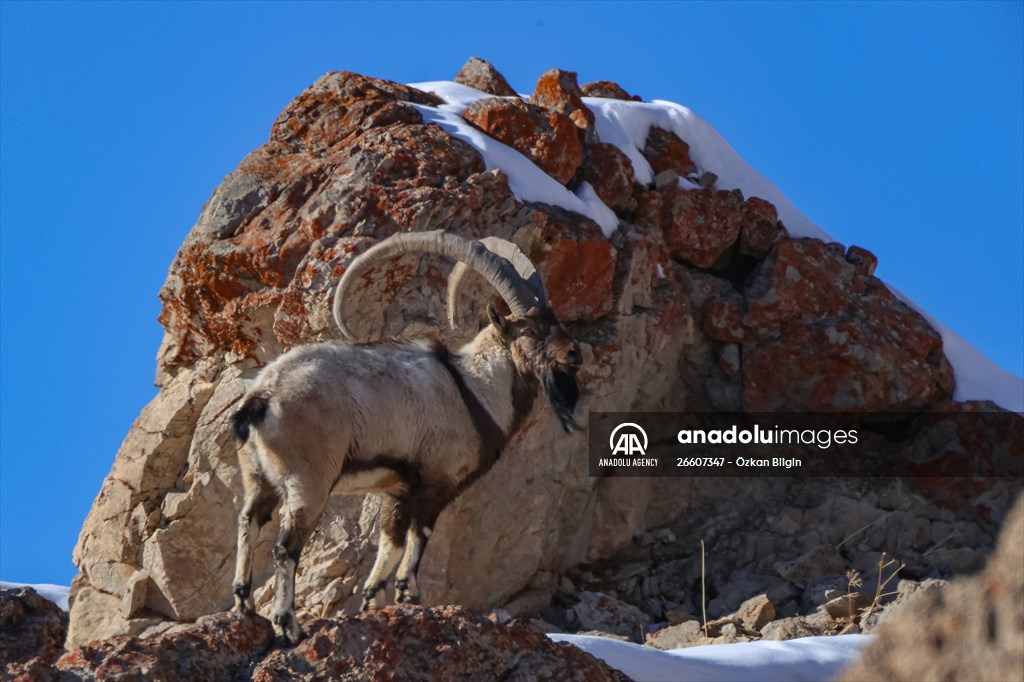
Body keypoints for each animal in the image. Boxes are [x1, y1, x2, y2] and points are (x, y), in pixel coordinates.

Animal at [230, 230, 583, 644]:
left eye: (554, 320)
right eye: (531, 328)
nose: (574, 353)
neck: (476, 389)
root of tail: (261, 397)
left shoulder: (396, 489)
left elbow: (390, 542)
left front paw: (372, 604)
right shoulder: (436, 482)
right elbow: (419, 537)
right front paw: (410, 596)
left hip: (258, 477)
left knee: (248, 521)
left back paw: (244, 608)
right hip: (308, 481)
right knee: (286, 547)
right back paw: (289, 625)